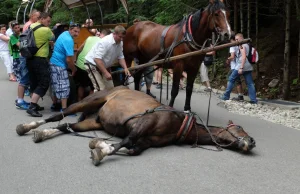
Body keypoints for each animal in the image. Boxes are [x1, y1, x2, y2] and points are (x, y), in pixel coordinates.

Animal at [15, 87, 255, 167]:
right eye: (240, 128)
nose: (252, 141)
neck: (179, 123)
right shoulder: (144, 124)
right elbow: (126, 141)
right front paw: (101, 151)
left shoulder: (146, 141)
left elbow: (133, 150)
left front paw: (98, 144)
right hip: (88, 102)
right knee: (58, 115)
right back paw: (28, 126)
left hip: (93, 120)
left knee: (67, 126)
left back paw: (42, 134)